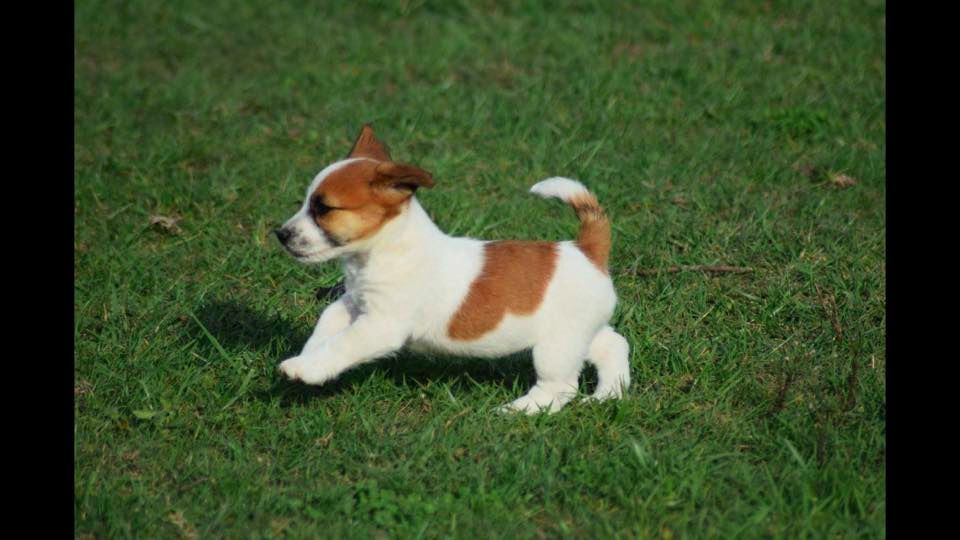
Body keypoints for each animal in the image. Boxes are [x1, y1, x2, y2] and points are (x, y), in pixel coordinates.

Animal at [274, 125, 632, 414]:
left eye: (324, 209)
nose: (281, 234)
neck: (386, 249)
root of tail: (586, 249)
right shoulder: (354, 303)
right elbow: (328, 321)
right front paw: (309, 353)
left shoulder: (381, 325)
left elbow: (342, 344)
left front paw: (304, 369)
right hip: (583, 332)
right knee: (614, 345)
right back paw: (607, 395)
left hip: (556, 346)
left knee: (561, 388)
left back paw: (518, 411)